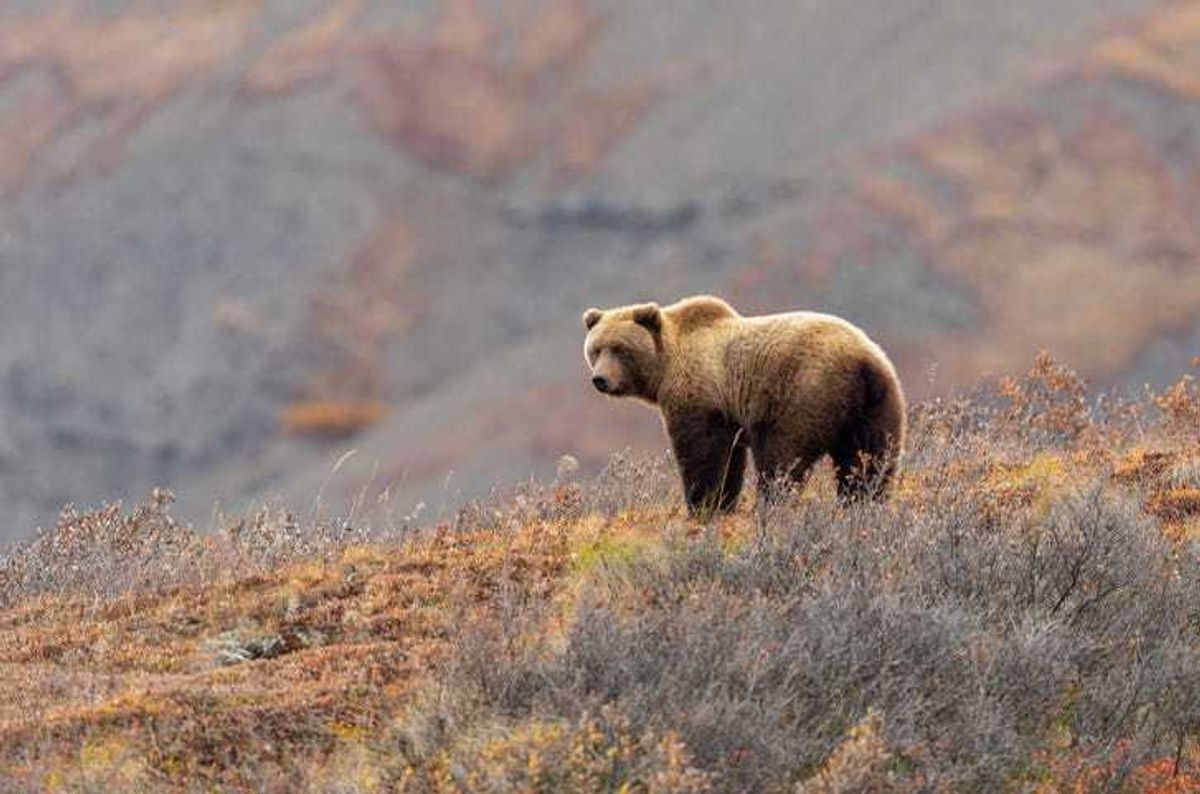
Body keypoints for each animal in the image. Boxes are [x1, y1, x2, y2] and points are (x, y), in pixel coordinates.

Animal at [582, 295, 905, 514]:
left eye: (621, 349)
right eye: (596, 349)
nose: (600, 380)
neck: (666, 366)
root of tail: (862, 360)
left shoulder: (701, 395)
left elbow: (701, 452)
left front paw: (702, 505)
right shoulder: (728, 413)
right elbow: (730, 460)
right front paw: (723, 503)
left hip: (803, 393)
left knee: (781, 458)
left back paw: (771, 504)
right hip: (877, 403)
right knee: (870, 459)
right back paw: (863, 503)